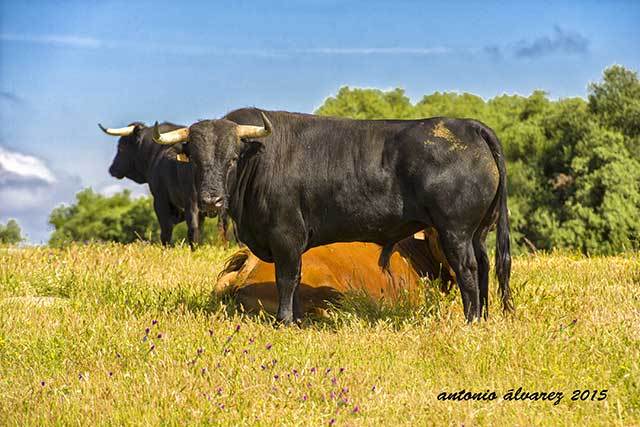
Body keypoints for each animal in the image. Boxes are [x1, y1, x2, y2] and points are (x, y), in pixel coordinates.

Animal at [99, 122, 229, 249]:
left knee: (193, 228)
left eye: (121, 148)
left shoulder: (160, 199)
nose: (112, 169)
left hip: (192, 201)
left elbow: (166, 231)